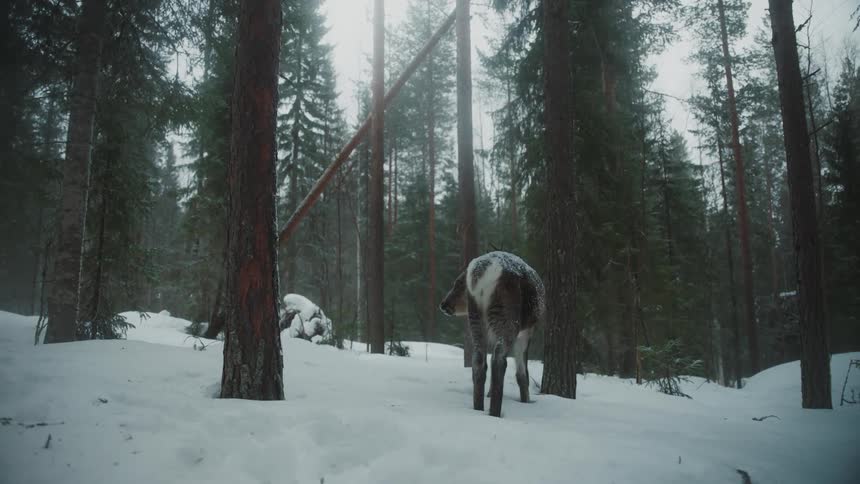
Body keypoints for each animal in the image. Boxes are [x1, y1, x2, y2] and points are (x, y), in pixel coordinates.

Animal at [439, 251, 545, 418]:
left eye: (458, 284)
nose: (444, 305)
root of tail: (481, 272)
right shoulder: (527, 331)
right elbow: (523, 374)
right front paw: (526, 400)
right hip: (507, 318)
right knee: (499, 359)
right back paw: (495, 411)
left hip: (476, 317)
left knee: (478, 359)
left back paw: (478, 407)